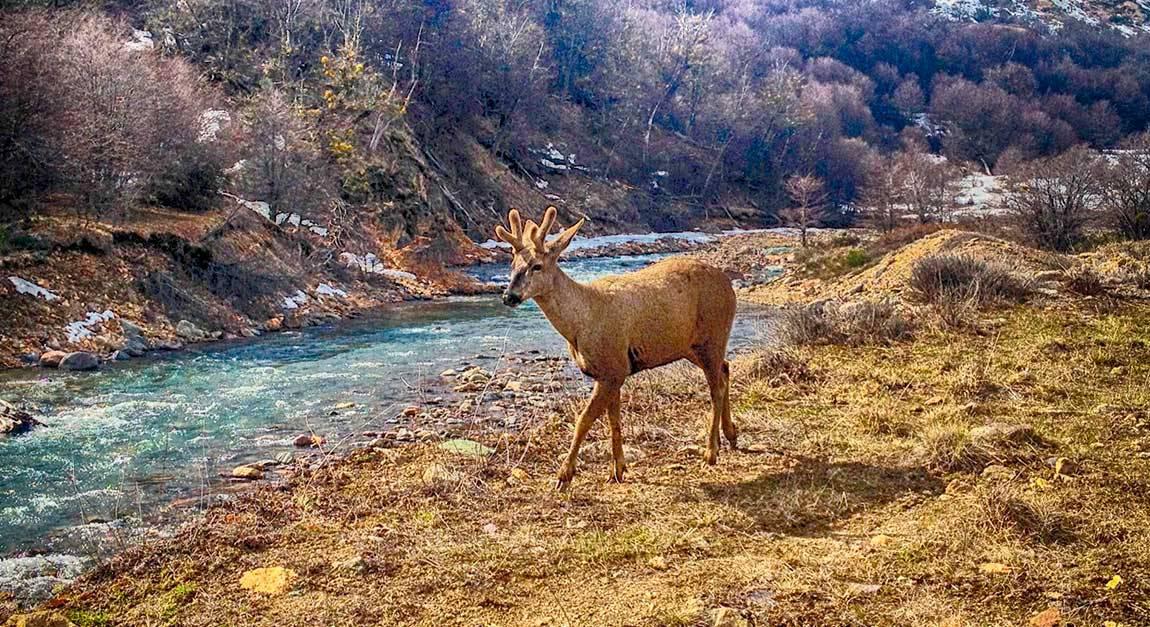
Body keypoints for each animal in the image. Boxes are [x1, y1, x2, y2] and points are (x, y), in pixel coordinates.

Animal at [494, 204, 736, 487]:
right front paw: (618, 469)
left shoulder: (613, 368)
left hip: (713, 335)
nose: (508, 296)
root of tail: (729, 286)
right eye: (512, 264)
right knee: (726, 369)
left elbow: (584, 419)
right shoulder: (613, 371)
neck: (582, 321)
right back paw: (731, 434)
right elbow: (613, 420)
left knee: (716, 386)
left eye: (537, 266)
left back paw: (711, 451)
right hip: (691, 346)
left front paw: (564, 475)